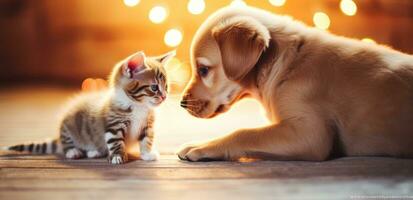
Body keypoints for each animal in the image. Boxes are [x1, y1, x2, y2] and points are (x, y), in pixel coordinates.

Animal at [2, 50, 172, 164]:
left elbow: (147, 139)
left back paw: (94, 152)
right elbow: (115, 141)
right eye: (154, 87)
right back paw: (73, 151)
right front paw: (117, 156)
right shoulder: (113, 124)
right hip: (69, 125)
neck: (139, 106)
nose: (164, 96)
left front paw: (147, 154)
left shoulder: (147, 125)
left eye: (166, 87)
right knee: (67, 143)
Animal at [177, 6, 412, 162]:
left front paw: (201, 146)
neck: (287, 63)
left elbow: (243, 133)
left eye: (203, 70)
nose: (181, 104)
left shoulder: (311, 132)